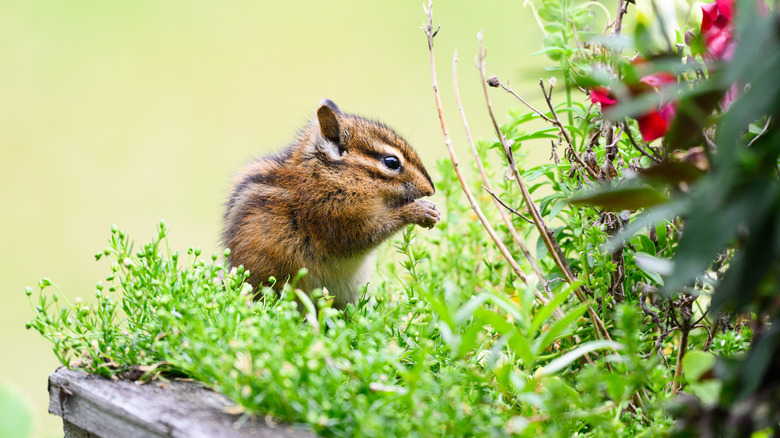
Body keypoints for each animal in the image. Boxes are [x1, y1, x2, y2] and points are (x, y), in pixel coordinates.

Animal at [222, 99, 440, 308]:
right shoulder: (339, 217)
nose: (430, 189)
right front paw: (420, 211)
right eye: (392, 162)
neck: (330, 174)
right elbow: (370, 231)